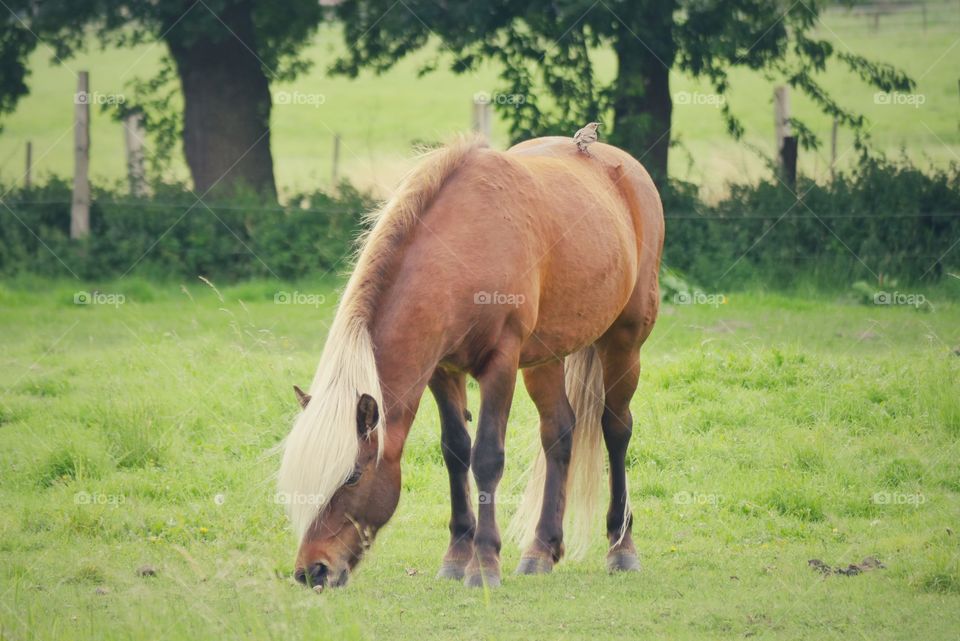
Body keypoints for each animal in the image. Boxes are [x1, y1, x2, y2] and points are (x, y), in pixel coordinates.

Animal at [278, 135, 664, 592]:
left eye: (352, 475)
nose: (312, 571)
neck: (461, 247)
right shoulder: (442, 371)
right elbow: (456, 452)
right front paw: (457, 556)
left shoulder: (500, 364)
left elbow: (487, 458)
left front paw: (484, 564)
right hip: (545, 359)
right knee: (559, 434)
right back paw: (541, 550)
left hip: (624, 341)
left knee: (616, 429)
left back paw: (621, 547)